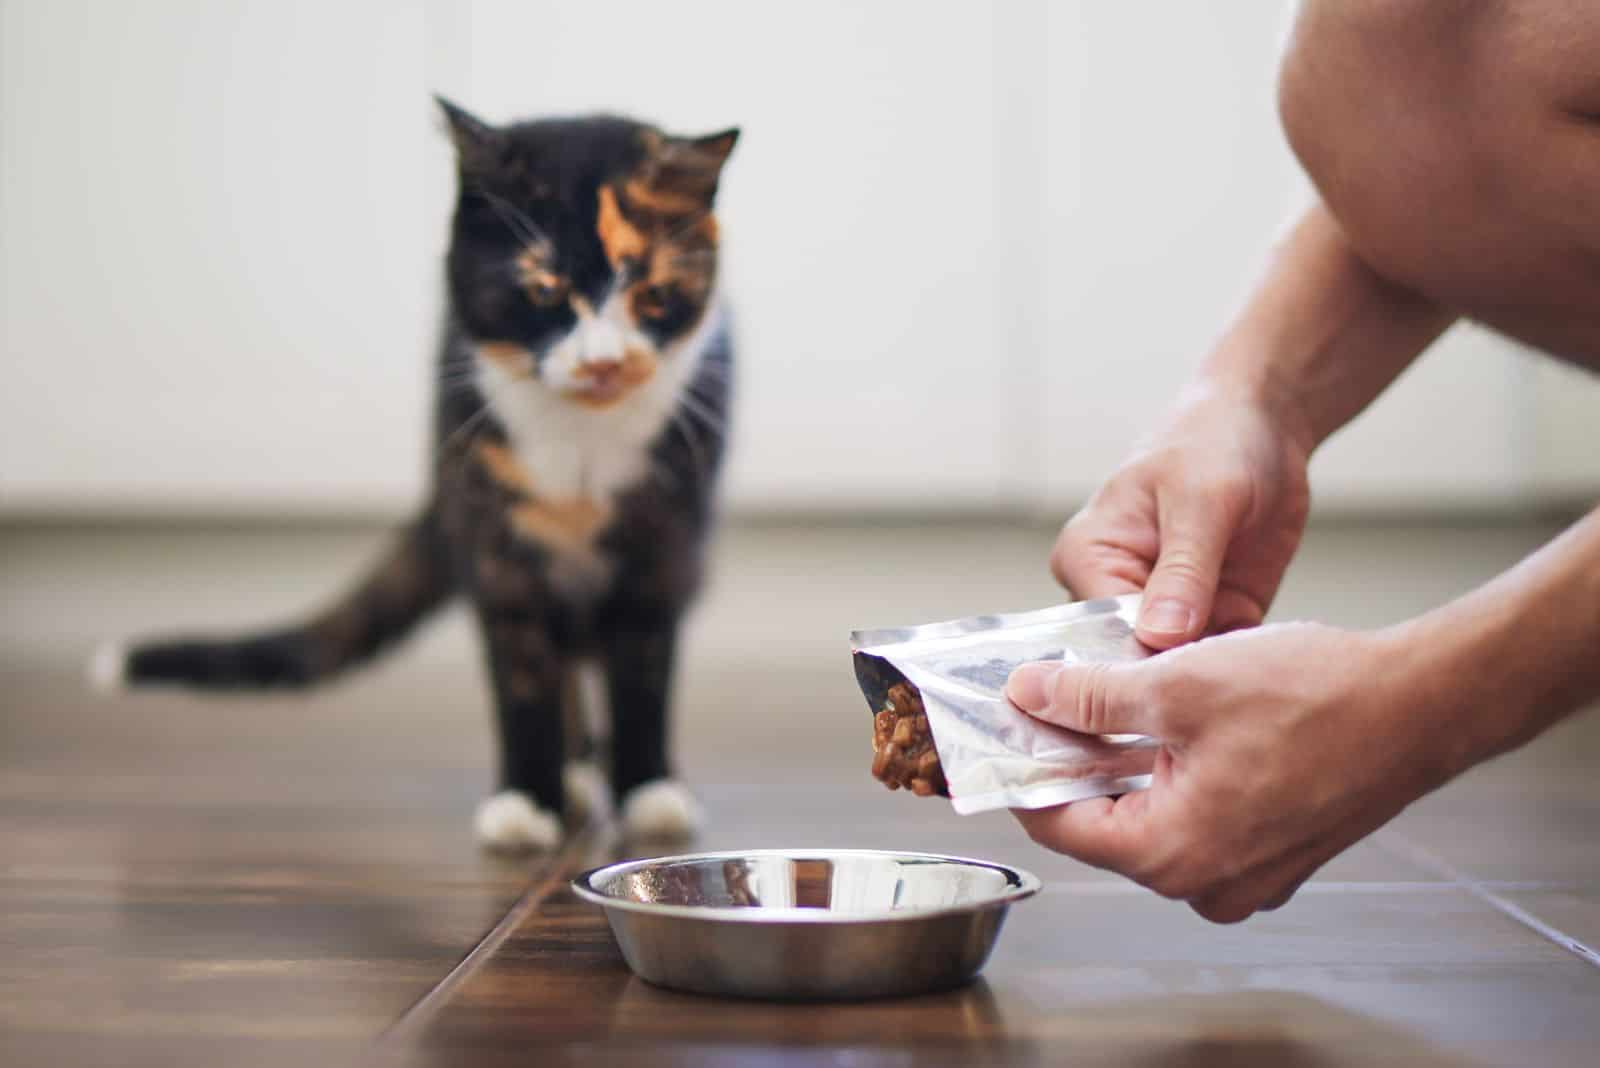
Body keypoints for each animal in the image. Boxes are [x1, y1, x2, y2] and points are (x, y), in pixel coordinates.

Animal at [96, 99, 745, 850]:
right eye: (543, 289)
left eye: (651, 291)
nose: (603, 362)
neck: (580, 444)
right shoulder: (492, 542)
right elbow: (523, 679)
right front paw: (527, 800)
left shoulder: (666, 539)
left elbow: (643, 671)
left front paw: (650, 790)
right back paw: (575, 778)